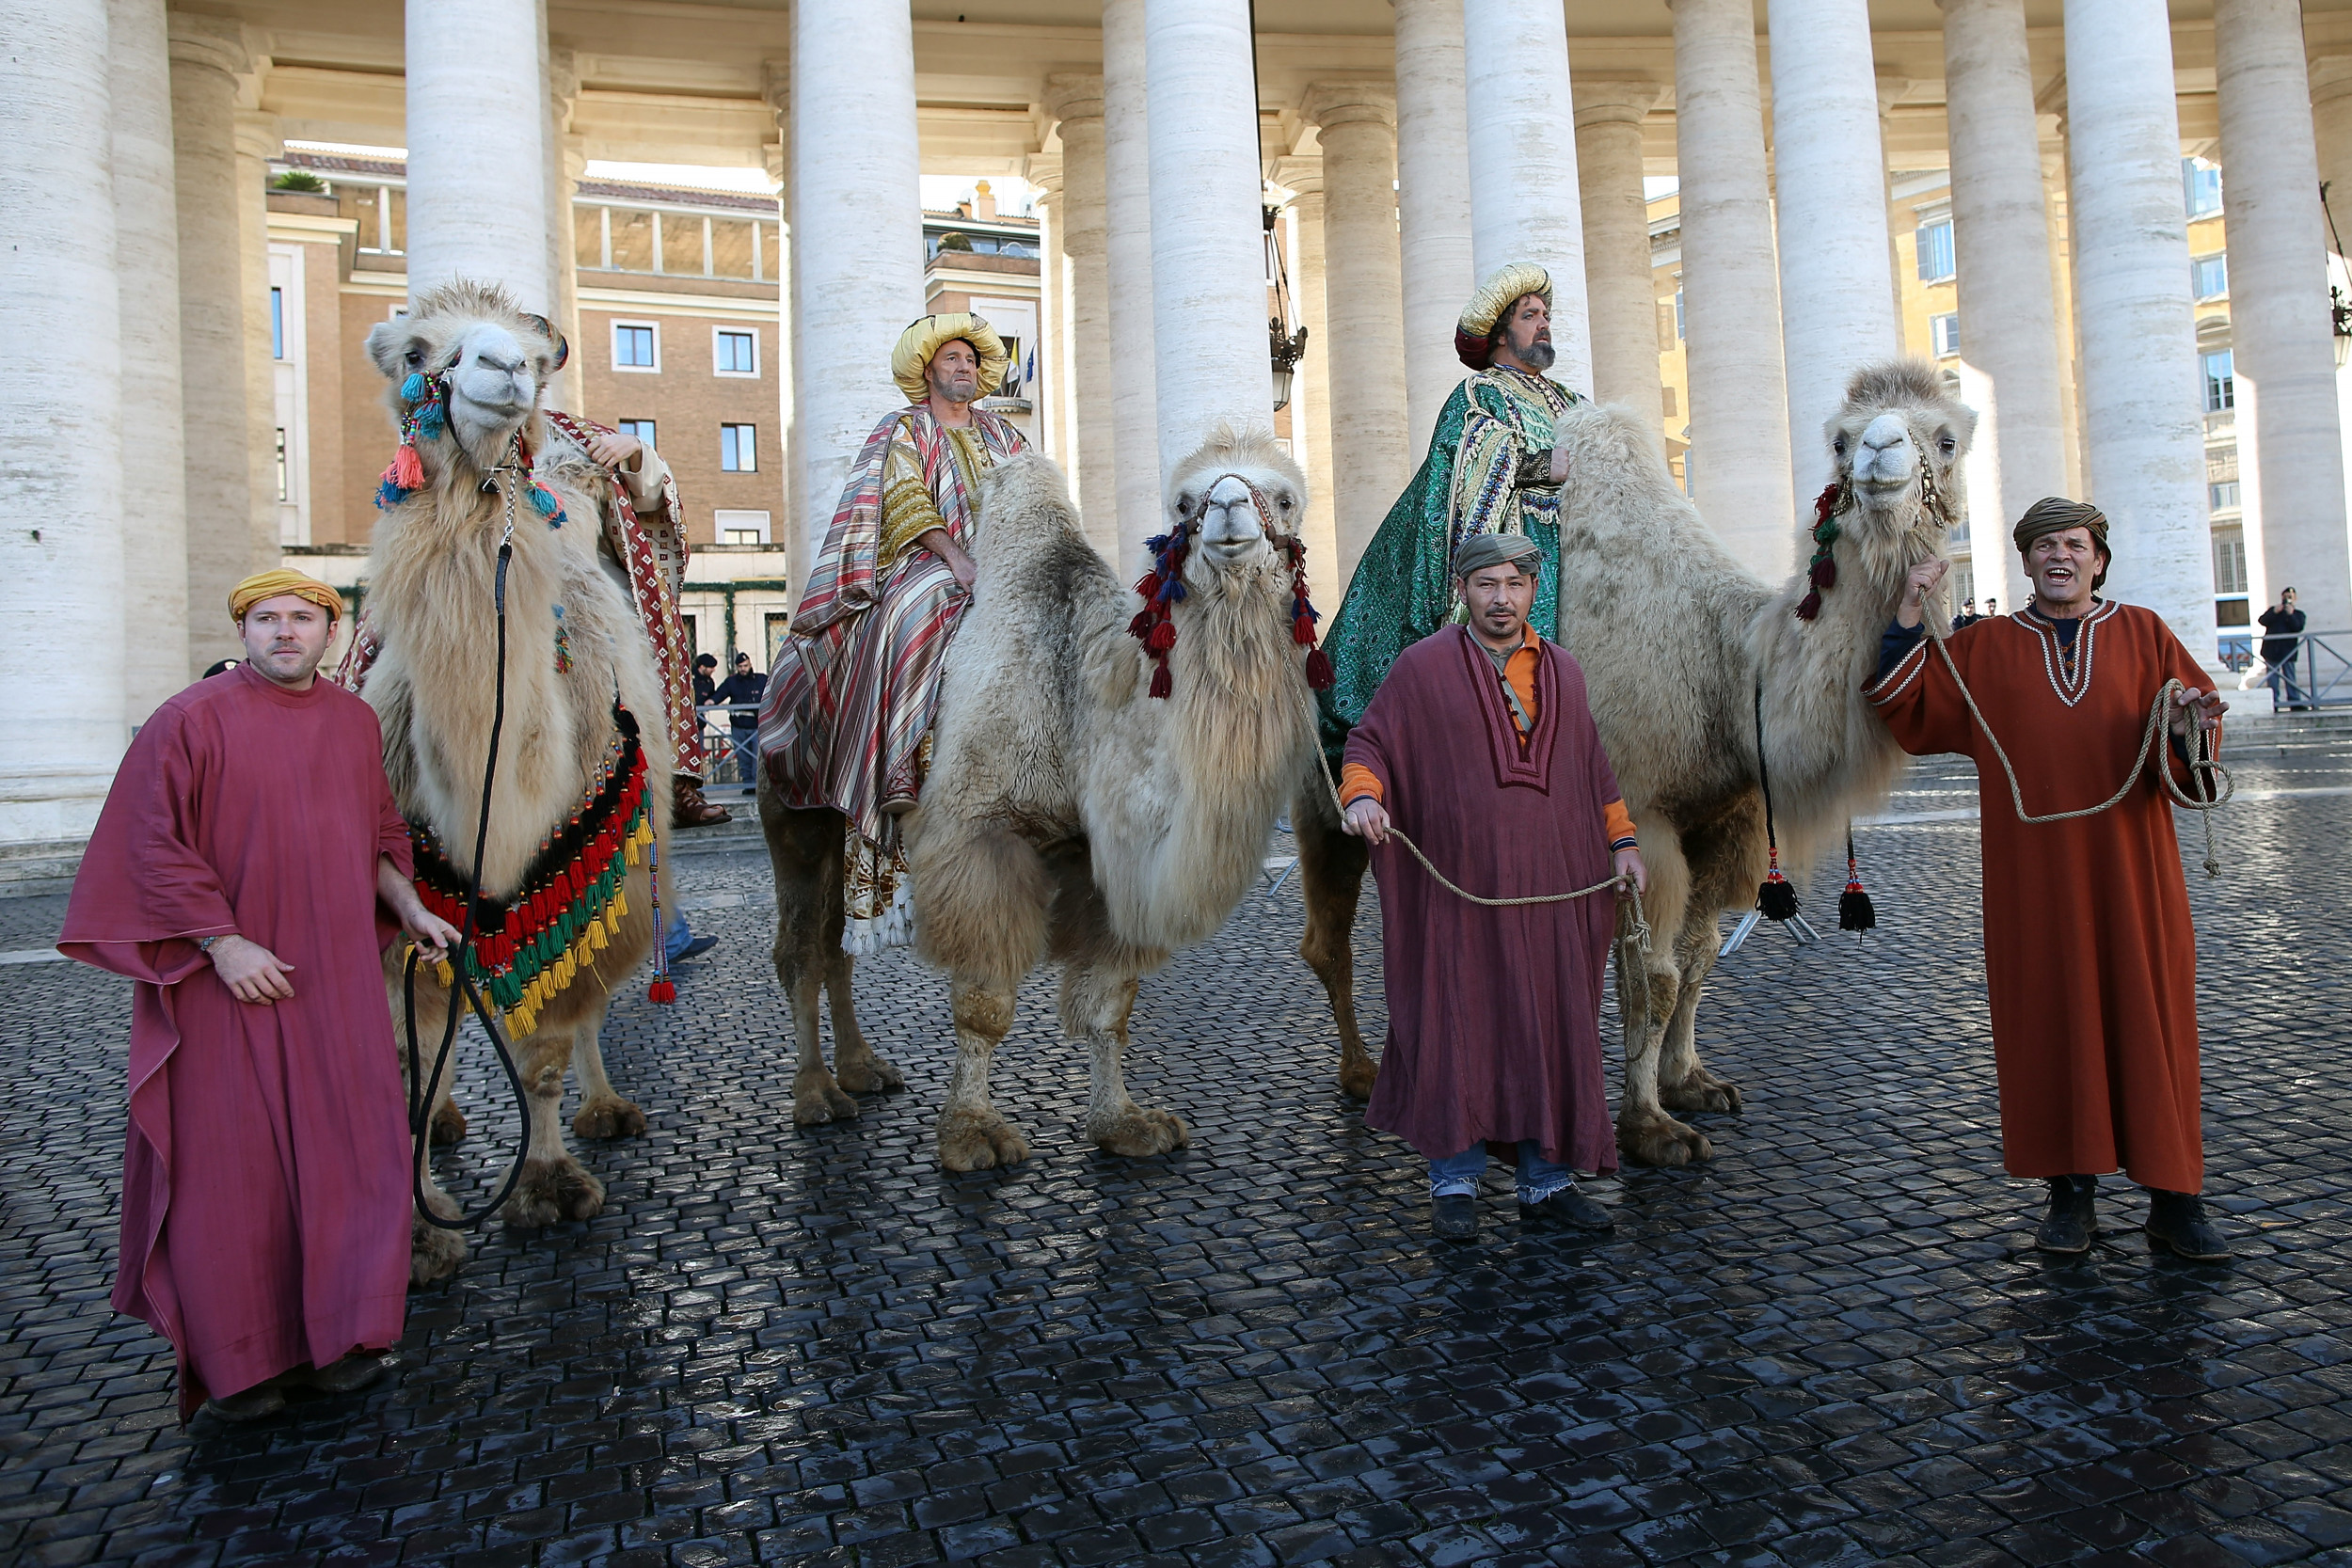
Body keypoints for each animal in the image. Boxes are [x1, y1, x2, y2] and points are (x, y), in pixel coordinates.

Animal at [359, 278, 673, 1288]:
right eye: (417, 353)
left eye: (536, 361)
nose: (502, 371)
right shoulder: (408, 904)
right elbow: (408, 1068)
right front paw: (421, 1238)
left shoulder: (583, 870)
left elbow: (543, 1051)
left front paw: (548, 1186)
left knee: (590, 1006)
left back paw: (606, 1110)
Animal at [767, 425, 1336, 1165]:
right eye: (1184, 501)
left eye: (1287, 498)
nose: (1229, 509)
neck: (1084, 709)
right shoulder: (981, 833)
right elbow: (985, 1002)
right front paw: (972, 1134)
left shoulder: (1107, 857)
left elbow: (1110, 1005)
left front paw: (1124, 1122)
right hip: (796, 814)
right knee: (803, 948)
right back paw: (815, 1095)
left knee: (836, 945)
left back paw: (862, 1071)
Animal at [1298, 359, 1976, 1165]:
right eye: (1839, 439)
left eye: (1947, 436)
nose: (1878, 452)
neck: (1727, 667)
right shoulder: (1636, 814)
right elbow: (1652, 975)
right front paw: (1650, 1126)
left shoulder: (1724, 819)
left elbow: (1701, 954)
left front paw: (1692, 1082)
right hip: (1331, 793)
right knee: (1329, 935)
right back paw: (1364, 1073)